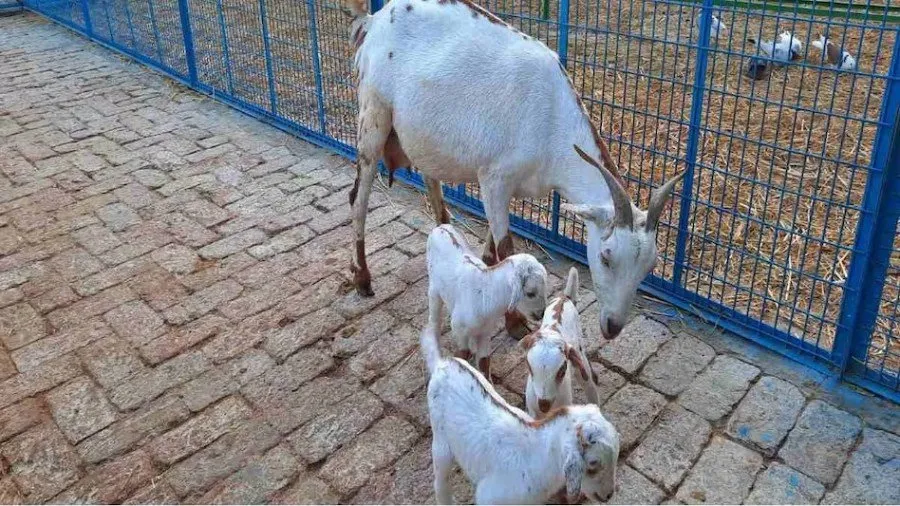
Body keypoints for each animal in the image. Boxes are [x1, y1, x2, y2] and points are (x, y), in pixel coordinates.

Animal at [344, 0, 685, 341]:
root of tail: (371, 23)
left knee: (432, 188)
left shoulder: (511, 188)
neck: (551, 123)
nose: (613, 327)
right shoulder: (494, 178)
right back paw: (362, 278)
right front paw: (515, 323)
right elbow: (507, 249)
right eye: (605, 256)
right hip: (373, 115)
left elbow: (493, 247)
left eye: (649, 267)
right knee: (358, 196)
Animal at [420, 323, 620, 504]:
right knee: (441, 480)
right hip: (441, 441)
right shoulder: (489, 497)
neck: (536, 453)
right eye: (593, 464)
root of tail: (442, 364)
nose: (608, 495)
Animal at [427, 223, 548, 379]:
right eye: (530, 293)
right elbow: (462, 354)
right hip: (433, 289)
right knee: (434, 320)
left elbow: (484, 361)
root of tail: (441, 227)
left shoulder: (485, 333)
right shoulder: (459, 330)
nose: (541, 313)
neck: (485, 293)